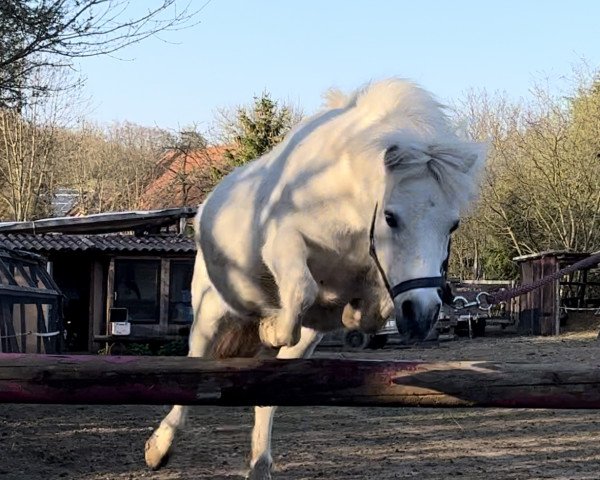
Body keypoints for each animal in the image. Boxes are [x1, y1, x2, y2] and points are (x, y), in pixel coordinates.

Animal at [145, 78, 488, 476]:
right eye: (390, 217)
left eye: (453, 224)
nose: (422, 316)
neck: (346, 200)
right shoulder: (284, 242)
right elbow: (302, 289)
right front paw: (272, 326)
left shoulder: (378, 284)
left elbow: (368, 313)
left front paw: (348, 313)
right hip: (211, 310)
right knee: (195, 366)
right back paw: (159, 447)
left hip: (302, 344)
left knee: (269, 392)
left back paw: (259, 465)